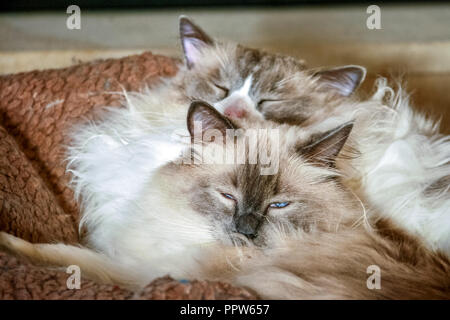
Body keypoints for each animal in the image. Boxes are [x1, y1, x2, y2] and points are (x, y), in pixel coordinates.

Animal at [0, 101, 450, 298]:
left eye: (279, 205)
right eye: (227, 196)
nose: (245, 231)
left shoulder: (148, 272)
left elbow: (67, 257)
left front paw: (10, 246)